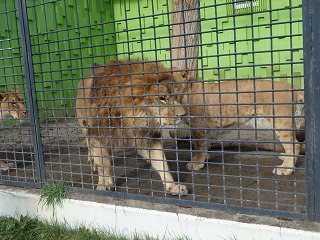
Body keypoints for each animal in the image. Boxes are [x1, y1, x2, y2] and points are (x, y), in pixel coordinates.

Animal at [76, 59, 189, 195]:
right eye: (161, 98)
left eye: (177, 96)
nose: (183, 115)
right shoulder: (101, 136)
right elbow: (104, 164)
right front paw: (104, 185)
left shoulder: (146, 137)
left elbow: (161, 162)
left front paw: (173, 186)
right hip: (85, 126)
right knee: (90, 145)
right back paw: (93, 162)